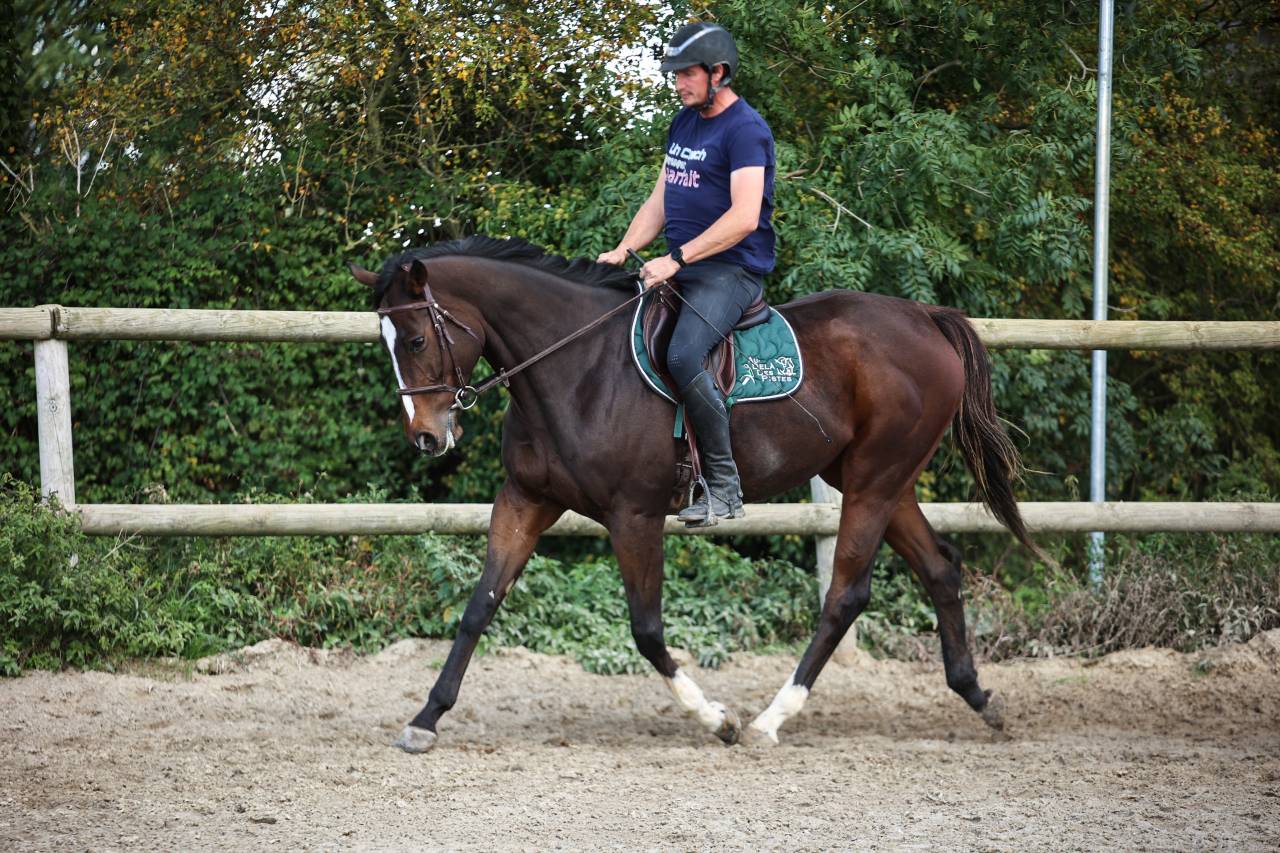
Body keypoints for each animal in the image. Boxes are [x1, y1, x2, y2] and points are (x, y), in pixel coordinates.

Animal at [349, 235, 1034, 752]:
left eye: (416, 340)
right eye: (386, 344)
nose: (426, 437)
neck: (577, 367)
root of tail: (925, 318)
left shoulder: (634, 515)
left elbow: (647, 629)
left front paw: (718, 719)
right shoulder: (526, 499)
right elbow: (479, 607)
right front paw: (425, 720)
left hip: (875, 478)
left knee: (846, 594)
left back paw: (768, 720)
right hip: (881, 481)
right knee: (940, 568)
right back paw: (979, 697)